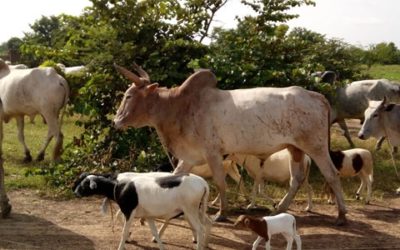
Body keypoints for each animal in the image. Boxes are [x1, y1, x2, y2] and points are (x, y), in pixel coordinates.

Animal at [75, 172, 212, 250]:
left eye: (85, 183)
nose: (75, 192)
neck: (120, 187)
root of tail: (203, 183)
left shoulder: (129, 212)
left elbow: (124, 232)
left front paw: (122, 245)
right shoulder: (149, 216)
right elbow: (155, 233)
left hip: (190, 210)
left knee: (200, 228)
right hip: (197, 209)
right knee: (207, 223)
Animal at [112, 62, 346, 225]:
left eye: (129, 95)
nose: (116, 121)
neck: (179, 106)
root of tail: (317, 96)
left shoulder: (213, 153)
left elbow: (220, 182)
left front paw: (222, 213)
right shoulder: (190, 156)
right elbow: (173, 176)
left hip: (315, 147)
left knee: (332, 175)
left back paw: (342, 215)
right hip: (294, 148)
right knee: (296, 179)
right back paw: (279, 208)